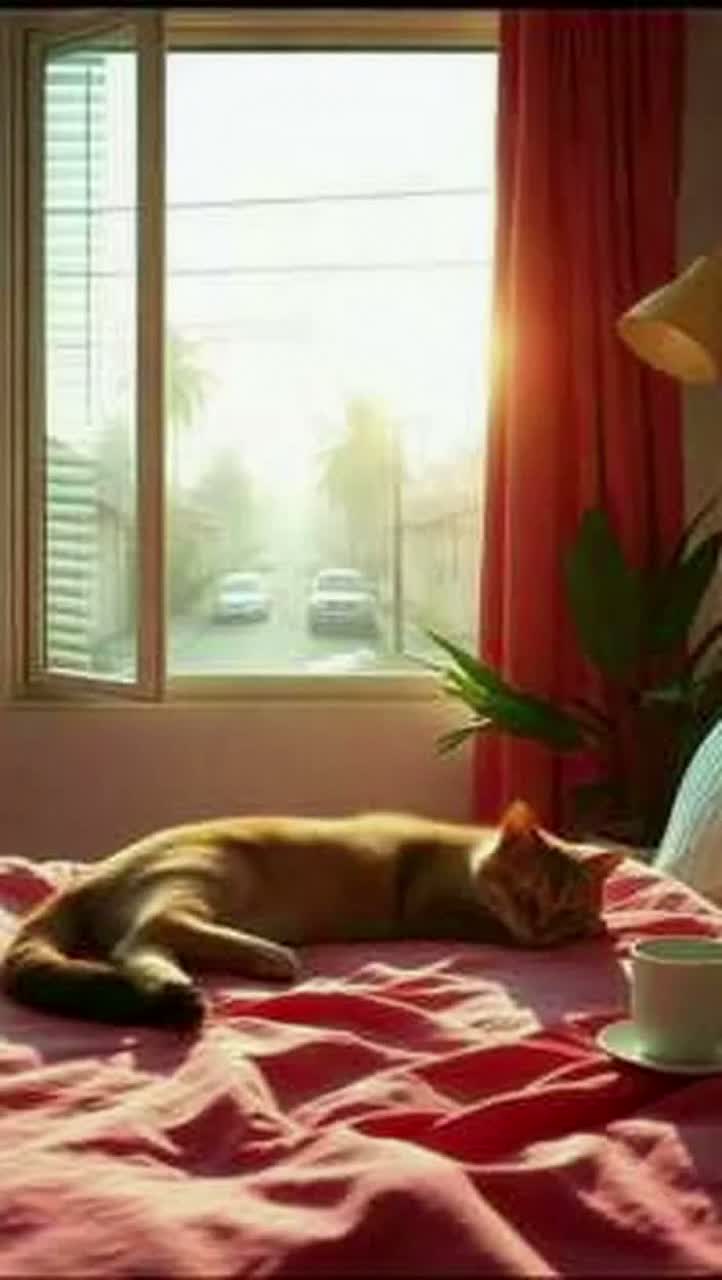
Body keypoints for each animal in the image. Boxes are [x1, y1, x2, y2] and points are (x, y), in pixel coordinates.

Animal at [0, 801, 622, 1030]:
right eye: (526, 892)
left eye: (565, 908)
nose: (542, 933)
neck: (463, 853)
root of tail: (97, 873)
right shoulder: (432, 903)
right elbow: (481, 925)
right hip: (203, 873)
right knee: (142, 937)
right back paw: (265, 957)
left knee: (143, 945)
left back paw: (185, 988)